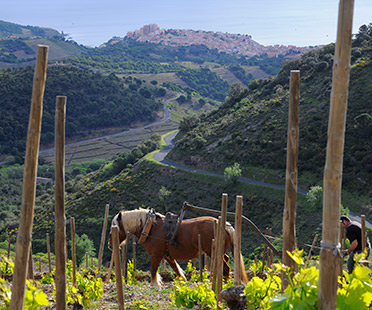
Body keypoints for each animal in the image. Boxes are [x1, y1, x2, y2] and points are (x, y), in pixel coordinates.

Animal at [107, 208, 247, 288]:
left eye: (115, 227)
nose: (109, 244)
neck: (151, 227)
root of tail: (224, 224)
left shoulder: (156, 255)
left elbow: (153, 271)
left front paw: (155, 285)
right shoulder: (168, 256)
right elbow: (177, 271)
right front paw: (183, 283)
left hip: (213, 252)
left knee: (225, 268)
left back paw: (223, 285)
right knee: (226, 261)